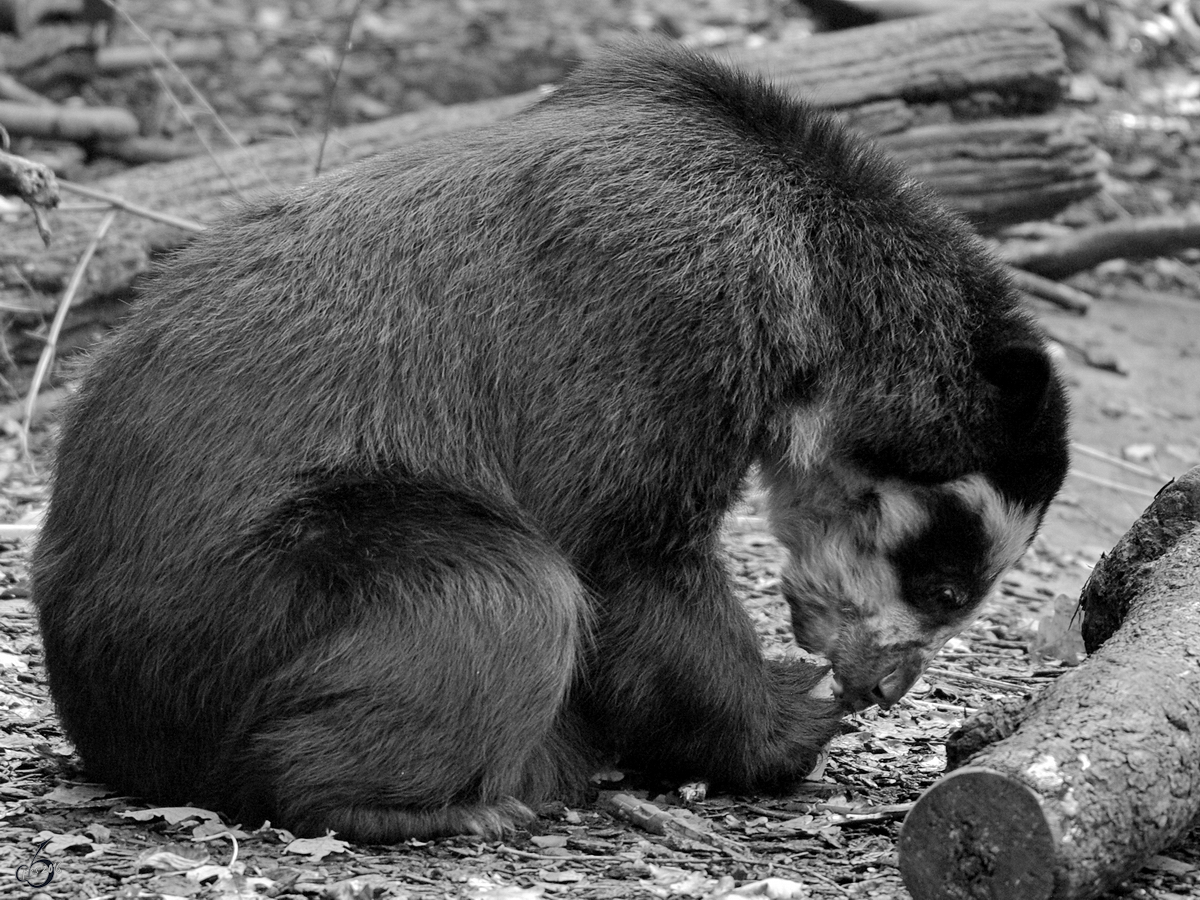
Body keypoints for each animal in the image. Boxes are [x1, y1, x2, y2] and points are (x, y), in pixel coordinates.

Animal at [32, 40, 1070, 844]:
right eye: (945, 588)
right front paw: (791, 722)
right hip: (252, 600)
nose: (883, 687)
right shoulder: (665, 322)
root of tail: (100, 709)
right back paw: (445, 806)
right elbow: (625, 551)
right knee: (505, 595)